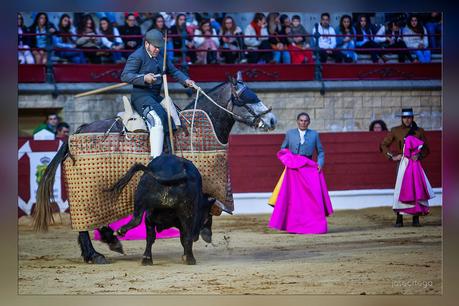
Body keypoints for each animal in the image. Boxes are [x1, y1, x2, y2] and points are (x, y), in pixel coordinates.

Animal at [34, 71, 276, 262]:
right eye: (246, 98)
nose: (272, 120)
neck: (197, 129)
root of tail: (75, 134)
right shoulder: (202, 187)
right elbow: (207, 208)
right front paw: (202, 234)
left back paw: (107, 244)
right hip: (87, 193)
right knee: (84, 222)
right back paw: (97, 253)